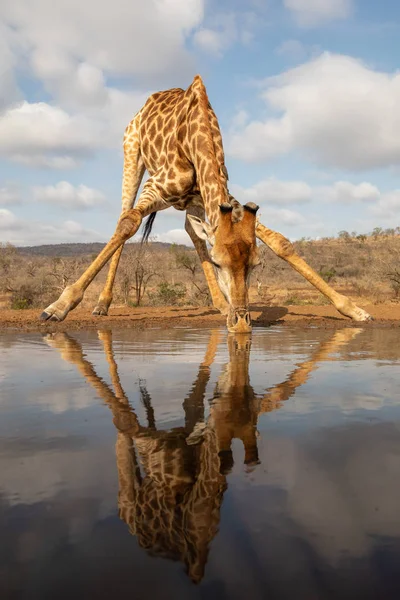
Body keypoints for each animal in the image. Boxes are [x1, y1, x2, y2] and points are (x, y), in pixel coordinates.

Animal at [39, 75, 372, 332]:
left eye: (255, 265)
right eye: (218, 262)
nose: (241, 324)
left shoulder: (227, 200)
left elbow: (280, 242)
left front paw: (354, 310)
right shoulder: (156, 187)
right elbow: (128, 224)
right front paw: (58, 307)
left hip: (193, 204)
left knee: (191, 230)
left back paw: (220, 303)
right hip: (131, 154)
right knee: (124, 214)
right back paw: (101, 305)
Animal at [44, 324, 362, 580]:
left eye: (249, 401)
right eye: (226, 405)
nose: (229, 380)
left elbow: (186, 401)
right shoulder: (148, 439)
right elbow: (126, 419)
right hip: (132, 490)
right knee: (124, 449)